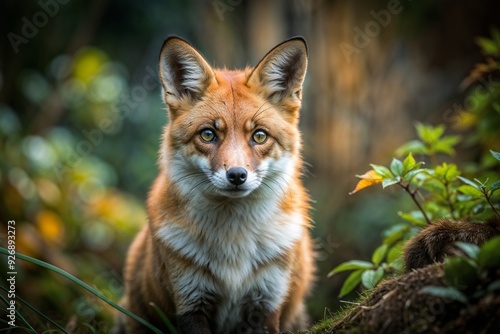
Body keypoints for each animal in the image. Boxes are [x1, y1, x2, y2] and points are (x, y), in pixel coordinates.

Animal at [115, 37, 314, 334]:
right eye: (208, 134)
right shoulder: (190, 300)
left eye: (259, 136)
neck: (234, 244)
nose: (237, 175)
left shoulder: (266, 302)